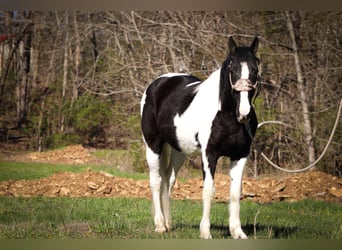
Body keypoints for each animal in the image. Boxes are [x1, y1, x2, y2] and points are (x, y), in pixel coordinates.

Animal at [139, 36, 260, 238]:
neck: (226, 115)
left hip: (179, 151)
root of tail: (157, 84)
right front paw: (205, 232)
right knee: (155, 181)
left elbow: (235, 193)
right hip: (153, 145)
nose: (244, 113)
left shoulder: (240, 155)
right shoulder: (209, 154)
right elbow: (209, 190)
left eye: (255, 70)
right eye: (232, 69)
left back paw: (168, 224)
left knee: (168, 180)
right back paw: (160, 225)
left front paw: (237, 232)